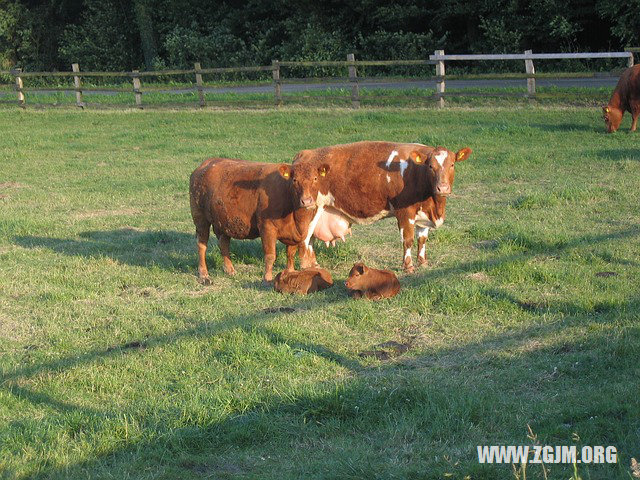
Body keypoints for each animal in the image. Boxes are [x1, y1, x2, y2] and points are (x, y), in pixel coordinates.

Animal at [188, 158, 330, 284]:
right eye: (295, 180)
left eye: (315, 178)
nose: (306, 201)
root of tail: (206, 163)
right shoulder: (267, 227)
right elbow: (270, 255)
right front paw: (267, 279)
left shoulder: (294, 234)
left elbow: (290, 254)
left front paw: (290, 273)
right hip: (200, 218)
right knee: (201, 245)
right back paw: (204, 275)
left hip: (222, 221)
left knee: (223, 243)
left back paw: (230, 270)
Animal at [294, 141, 470, 272]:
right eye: (431, 166)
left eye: (452, 164)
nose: (443, 188)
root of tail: (304, 153)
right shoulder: (405, 212)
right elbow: (408, 240)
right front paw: (408, 267)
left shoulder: (423, 213)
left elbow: (422, 239)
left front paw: (423, 263)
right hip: (309, 209)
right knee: (304, 240)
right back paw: (307, 269)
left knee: (310, 241)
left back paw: (315, 265)